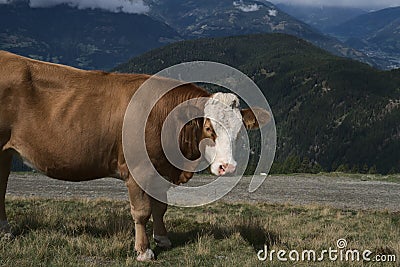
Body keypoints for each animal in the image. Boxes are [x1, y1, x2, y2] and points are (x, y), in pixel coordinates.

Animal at [0, 51, 270, 262]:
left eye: (240, 131)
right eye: (208, 128)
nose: (228, 167)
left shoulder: (161, 170)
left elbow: (160, 207)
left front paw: (162, 238)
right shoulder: (139, 170)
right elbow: (141, 211)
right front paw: (143, 251)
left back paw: (5, 231)